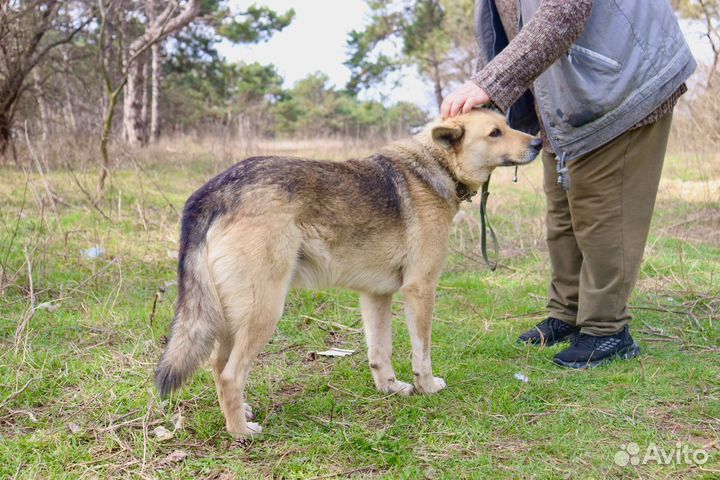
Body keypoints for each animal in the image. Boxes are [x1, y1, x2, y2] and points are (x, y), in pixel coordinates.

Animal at [156, 108, 540, 436]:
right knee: (230, 375)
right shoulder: (420, 290)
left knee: (217, 365)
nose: (538, 143)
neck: (435, 168)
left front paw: (390, 388)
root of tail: (215, 190)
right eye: (494, 133)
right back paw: (240, 431)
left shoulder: (376, 295)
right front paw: (427, 387)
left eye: (507, 125)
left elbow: (380, 352)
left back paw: (240, 412)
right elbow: (422, 352)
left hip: (233, 315)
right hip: (263, 312)